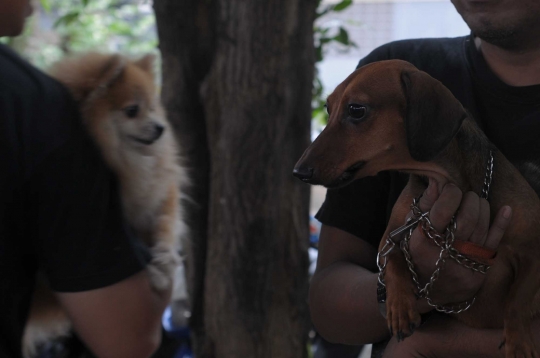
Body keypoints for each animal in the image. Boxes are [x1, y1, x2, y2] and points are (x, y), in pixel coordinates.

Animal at [22, 53, 186, 358]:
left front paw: (164, 257)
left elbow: (166, 221)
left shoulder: (162, 190)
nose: (160, 128)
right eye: (132, 110)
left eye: (153, 107)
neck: (126, 160)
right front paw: (156, 274)